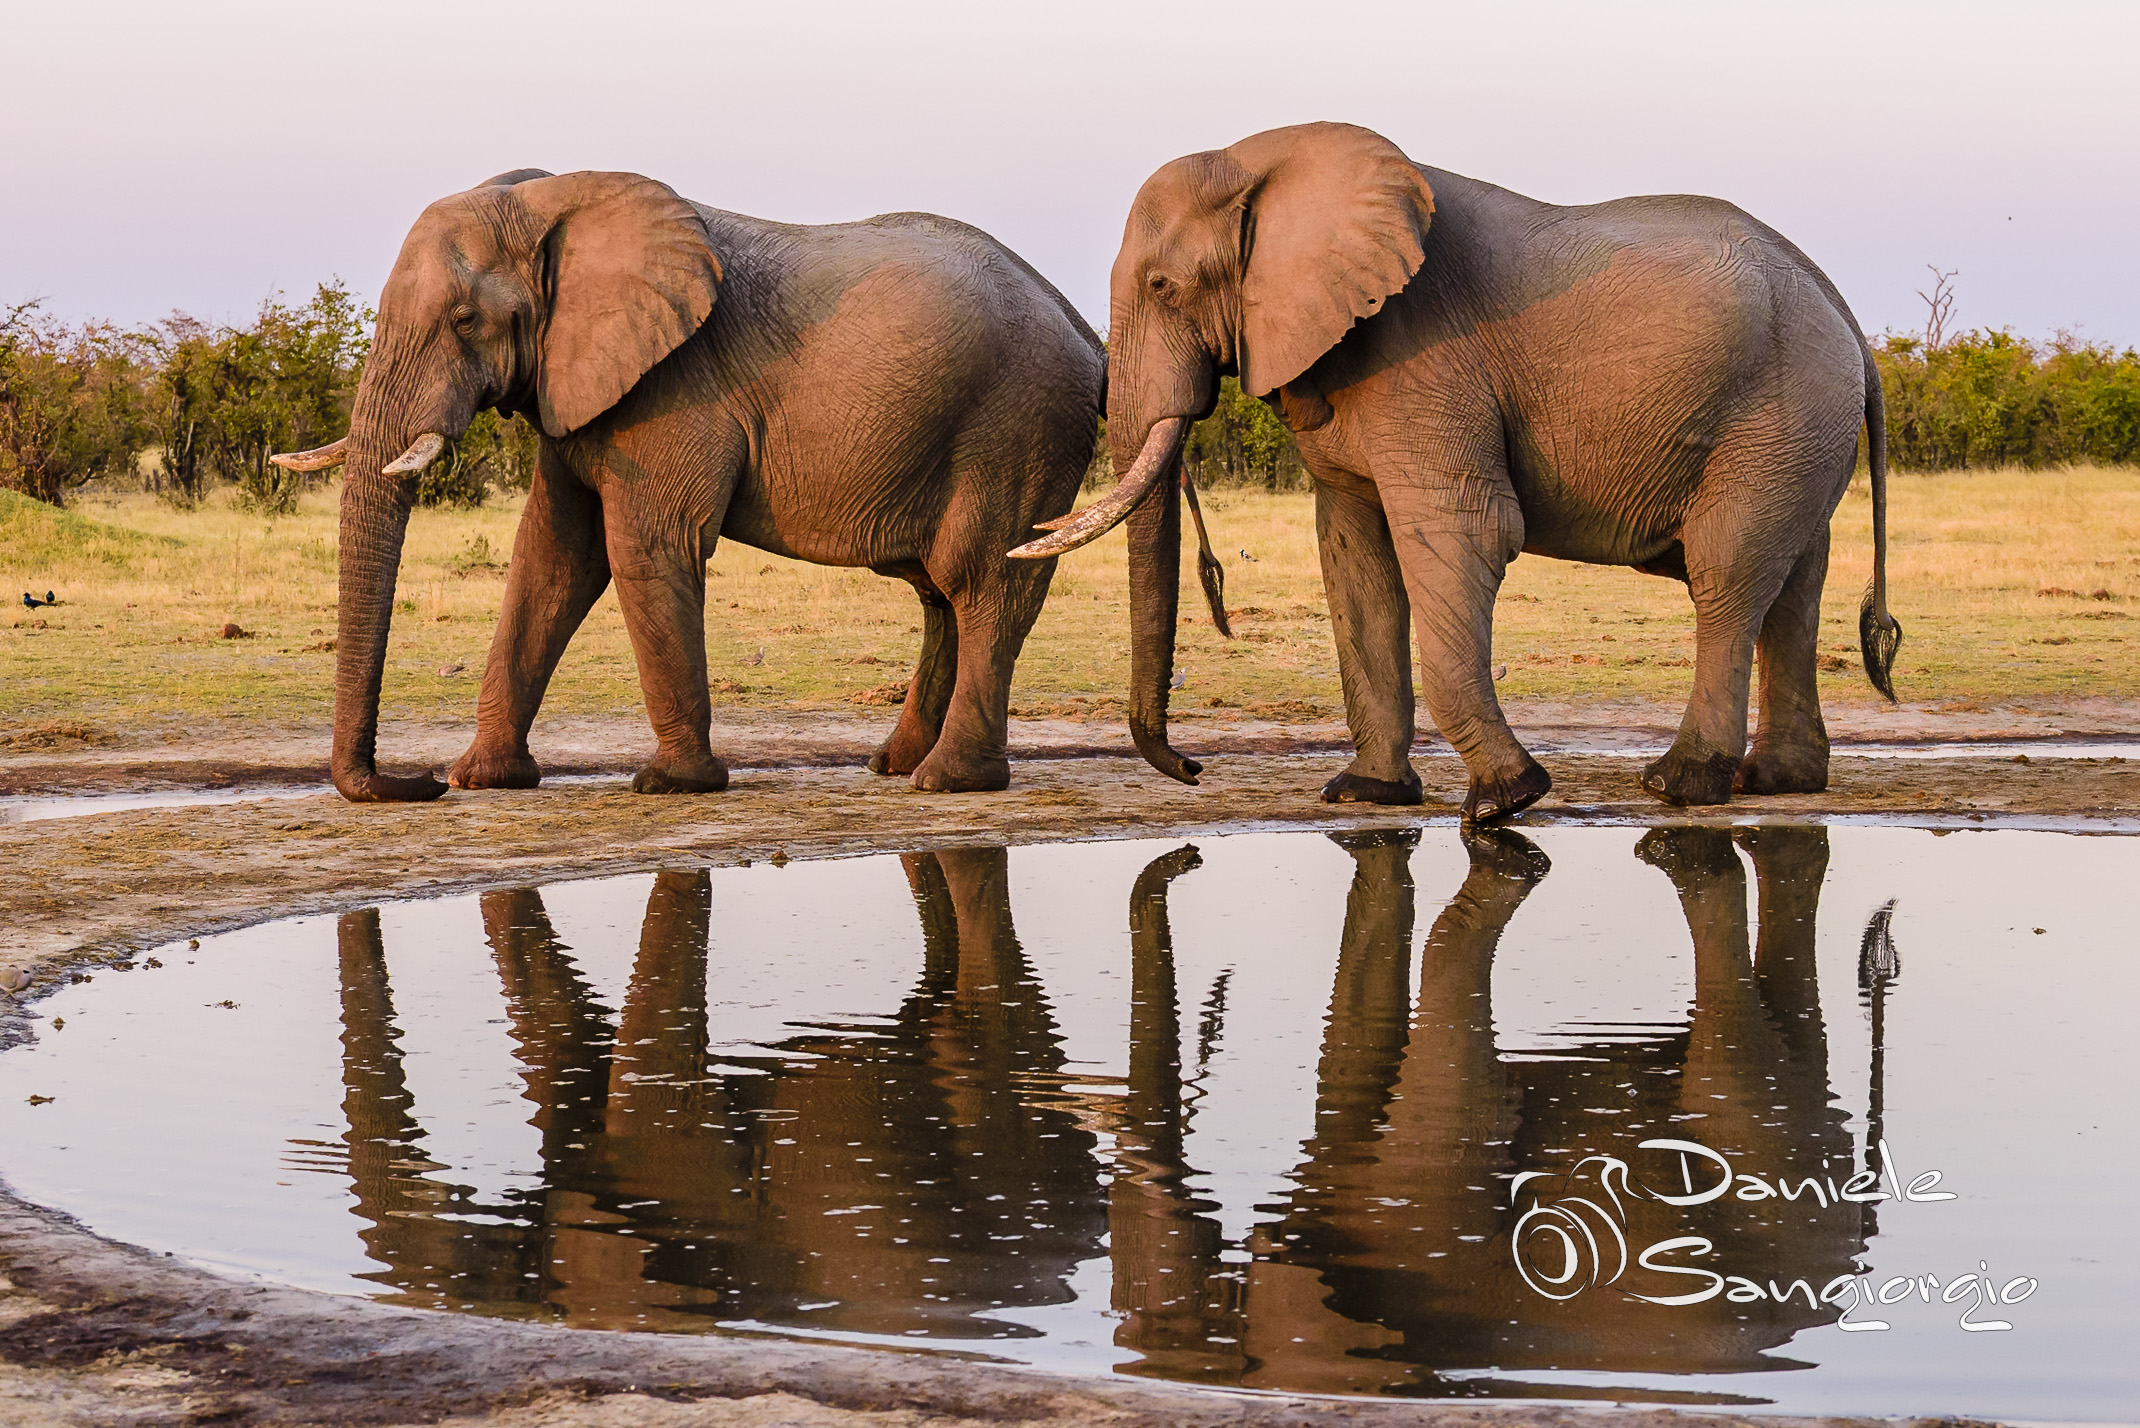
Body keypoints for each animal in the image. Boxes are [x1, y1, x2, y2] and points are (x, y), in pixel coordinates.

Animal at [274, 168, 1103, 802]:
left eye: (464, 319)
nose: (410, 782)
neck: (550, 200)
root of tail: (1085, 331)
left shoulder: (675, 387)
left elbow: (644, 547)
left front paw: (671, 784)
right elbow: (551, 559)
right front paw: (484, 779)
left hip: (1018, 423)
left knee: (980, 578)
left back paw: (949, 780)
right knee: (939, 592)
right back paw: (895, 766)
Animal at [1017, 122, 1901, 820]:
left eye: (1163, 285)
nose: (1192, 769)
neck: (1263, 161)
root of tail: (1848, 316)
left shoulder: (1426, 356)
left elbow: (1461, 534)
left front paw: (1505, 802)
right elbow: (1356, 561)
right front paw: (1367, 795)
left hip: (1778, 412)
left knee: (1726, 571)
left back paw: (1679, 785)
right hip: (1799, 429)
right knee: (1794, 581)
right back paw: (1777, 781)